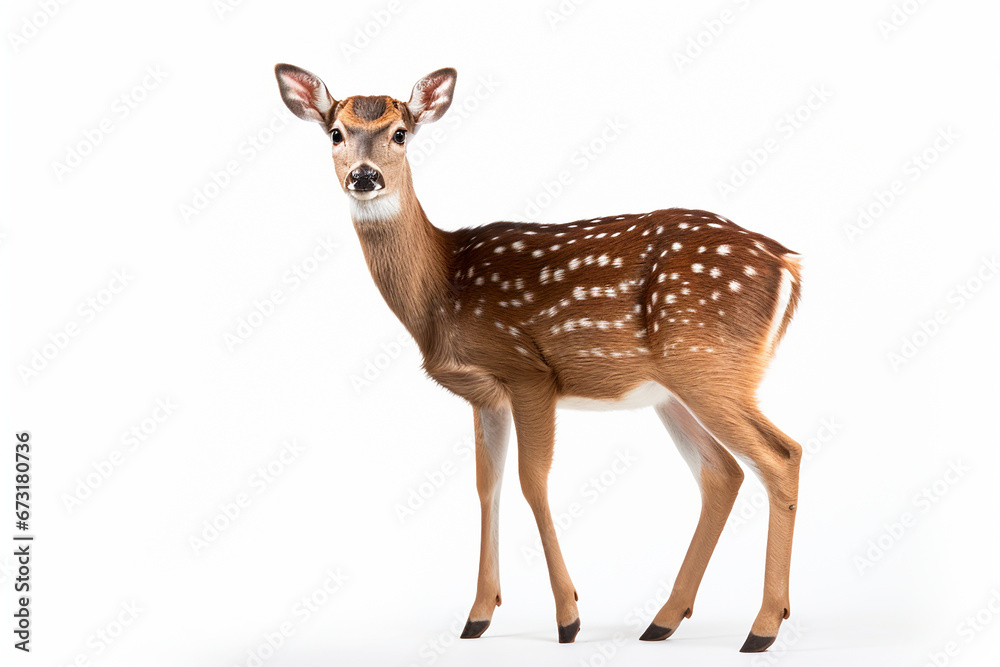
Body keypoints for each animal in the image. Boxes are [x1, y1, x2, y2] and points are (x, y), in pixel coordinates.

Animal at [275, 63, 804, 653]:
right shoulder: (485, 394)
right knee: (722, 474)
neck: (442, 288)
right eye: (335, 133)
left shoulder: (529, 371)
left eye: (400, 133)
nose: (364, 177)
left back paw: (762, 627)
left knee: (781, 456)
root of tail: (788, 264)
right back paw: (663, 621)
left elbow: (533, 481)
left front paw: (568, 619)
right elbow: (487, 485)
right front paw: (478, 617)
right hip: (675, 390)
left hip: (710, 365)